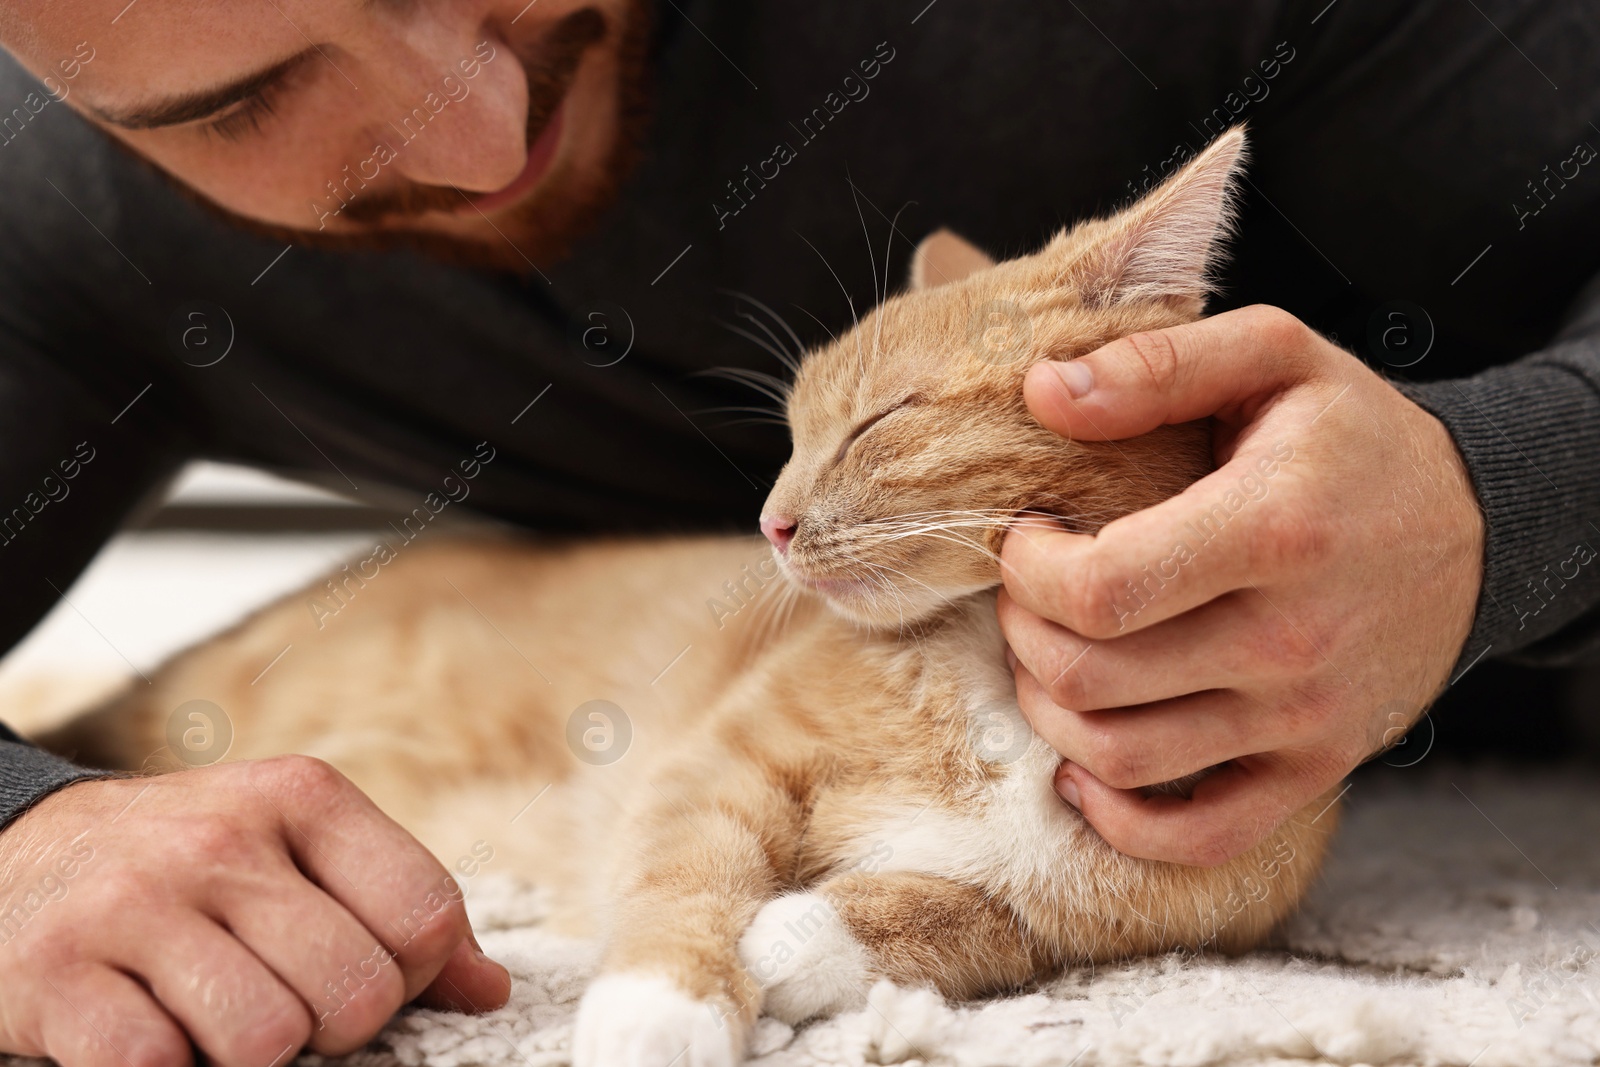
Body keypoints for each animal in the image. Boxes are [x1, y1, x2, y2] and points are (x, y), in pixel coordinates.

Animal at [43, 129, 1337, 1062]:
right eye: (795, 428)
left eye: (874, 422)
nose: (772, 521)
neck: (995, 679)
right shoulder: (708, 766)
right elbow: (685, 876)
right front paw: (661, 1010)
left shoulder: (1161, 905)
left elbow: (971, 916)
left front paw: (797, 940)